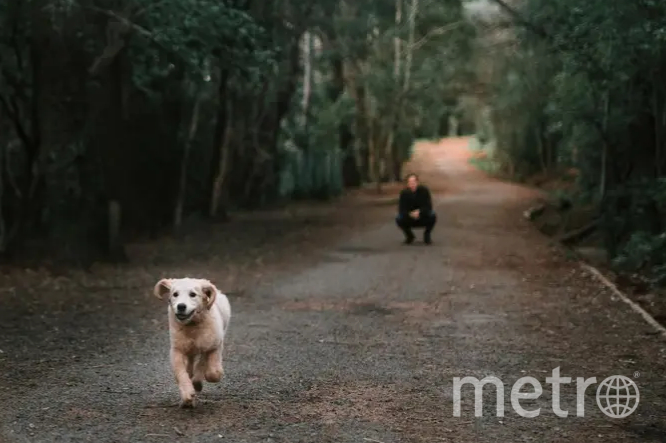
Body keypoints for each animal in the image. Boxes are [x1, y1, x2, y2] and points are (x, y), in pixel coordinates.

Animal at [153, 278, 231, 410]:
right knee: (190, 366)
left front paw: (207, 378)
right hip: (189, 350)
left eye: (193, 294)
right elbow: (181, 372)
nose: (181, 306)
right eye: (175, 294)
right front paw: (187, 394)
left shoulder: (214, 344)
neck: (192, 326)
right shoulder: (177, 350)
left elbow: (211, 370)